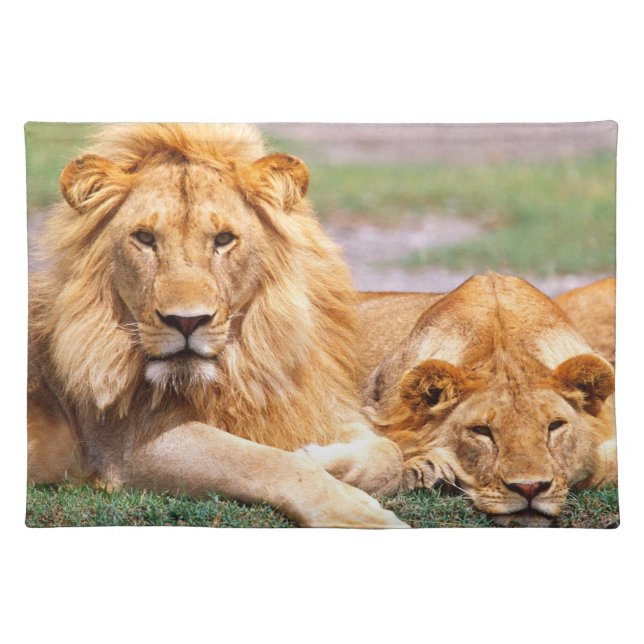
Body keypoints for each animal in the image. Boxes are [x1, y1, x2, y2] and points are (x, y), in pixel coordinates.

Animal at [27, 123, 406, 528]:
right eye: (145, 238)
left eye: (223, 240)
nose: (186, 320)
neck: (238, 367)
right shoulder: (126, 446)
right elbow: (264, 460)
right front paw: (356, 512)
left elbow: (390, 452)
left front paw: (322, 458)